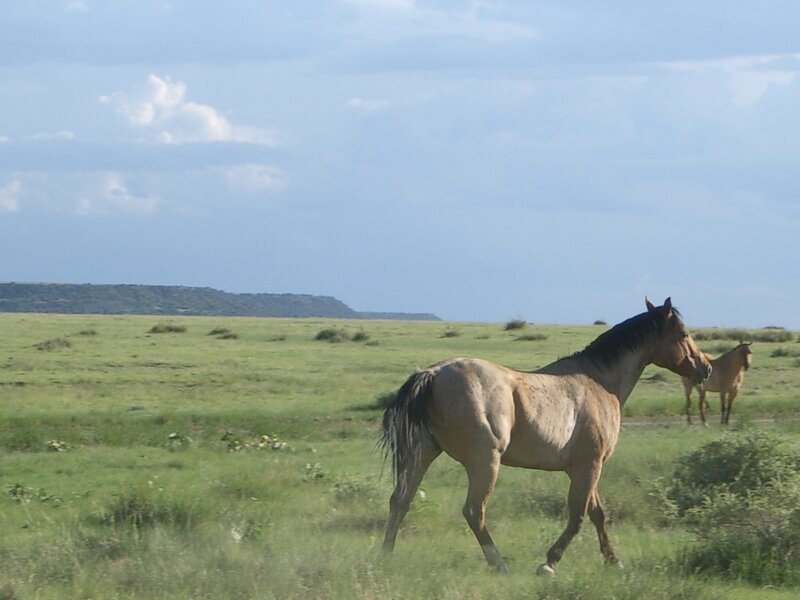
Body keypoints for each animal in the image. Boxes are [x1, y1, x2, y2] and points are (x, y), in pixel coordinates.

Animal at [380, 298, 711, 575]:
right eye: (683, 333)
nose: (705, 368)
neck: (600, 383)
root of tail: (433, 373)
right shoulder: (590, 465)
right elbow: (578, 517)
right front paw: (549, 563)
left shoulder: (581, 468)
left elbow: (597, 514)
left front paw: (613, 560)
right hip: (484, 463)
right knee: (473, 511)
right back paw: (498, 563)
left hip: (422, 455)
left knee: (400, 500)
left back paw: (386, 556)